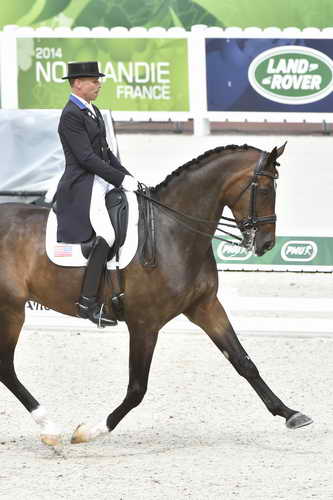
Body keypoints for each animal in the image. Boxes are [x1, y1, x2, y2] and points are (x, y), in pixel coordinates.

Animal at [0, 144, 312, 446]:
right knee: (6, 367)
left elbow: (244, 362)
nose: (267, 243)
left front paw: (291, 414)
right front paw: (90, 431)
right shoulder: (144, 324)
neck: (172, 231)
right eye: (265, 188)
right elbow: (137, 388)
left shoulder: (206, 306)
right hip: (12, 310)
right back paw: (49, 427)